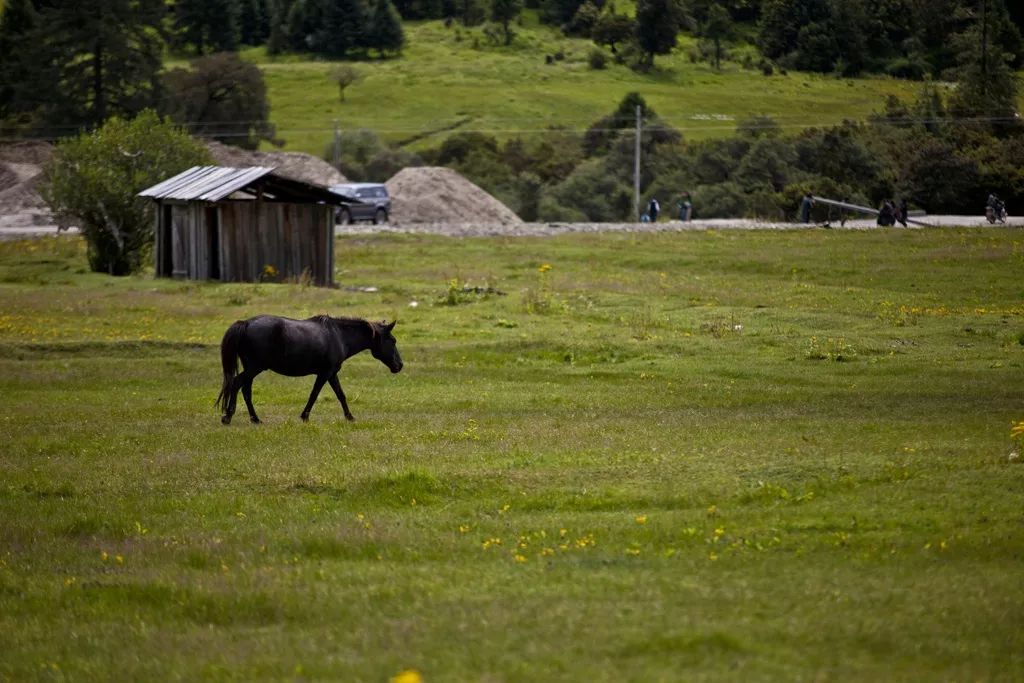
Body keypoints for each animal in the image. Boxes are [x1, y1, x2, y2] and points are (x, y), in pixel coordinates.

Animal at [217, 317, 403, 423]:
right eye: (393, 340)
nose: (400, 365)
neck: (339, 335)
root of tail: (245, 324)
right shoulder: (325, 373)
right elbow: (314, 394)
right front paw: (304, 416)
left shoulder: (332, 373)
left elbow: (341, 395)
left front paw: (350, 417)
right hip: (255, 367)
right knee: (236, 383)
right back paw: (228, 416)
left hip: (251, 368)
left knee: (246, 390)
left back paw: (255, 419)